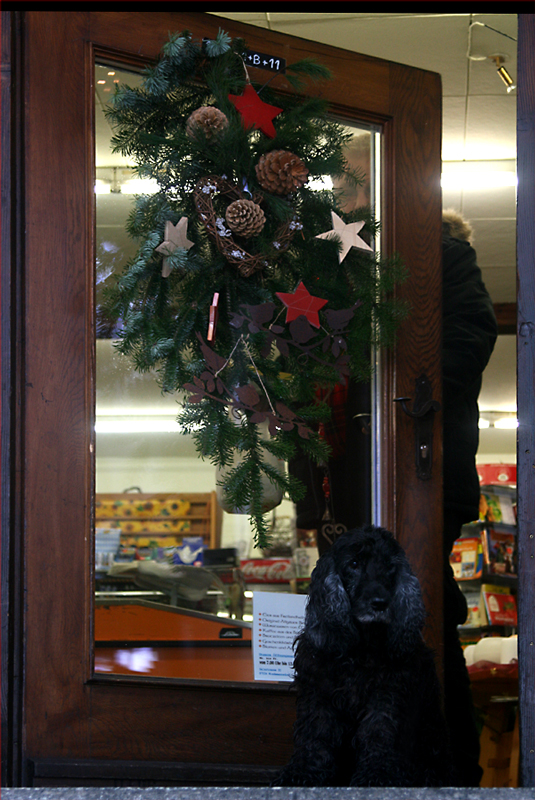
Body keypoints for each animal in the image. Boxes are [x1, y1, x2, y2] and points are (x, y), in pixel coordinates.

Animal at [278, 524, 454, 788]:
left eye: (390, 566)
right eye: (354, 563)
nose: (380, 603)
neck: (362, 645)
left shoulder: (386, 693)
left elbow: (378, 732)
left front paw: (377, 775)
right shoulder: (319, 691)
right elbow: (315, 732)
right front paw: (303, 772)